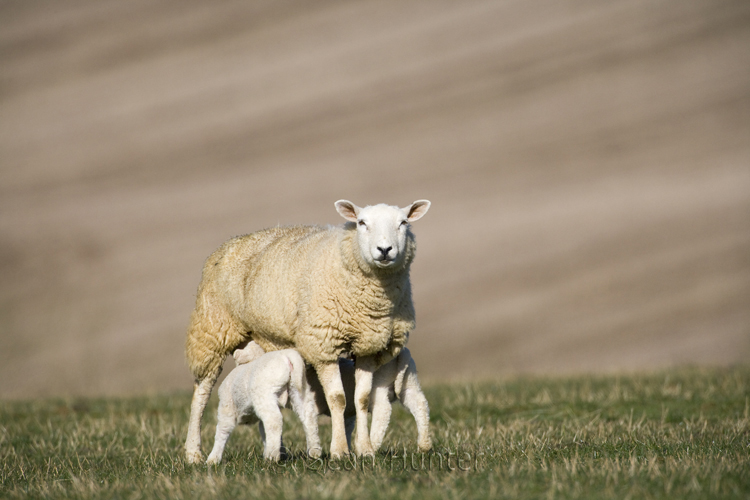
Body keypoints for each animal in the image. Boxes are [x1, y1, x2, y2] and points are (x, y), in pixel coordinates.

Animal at [235, 342, 434, 452]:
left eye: (251, 347)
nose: (236, 356)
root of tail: (402, 354)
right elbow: (346, 426)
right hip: (409, 381)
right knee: (420, 404)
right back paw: (424, 445)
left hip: (380, 383)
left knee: (383, 409)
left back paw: (374, 443)